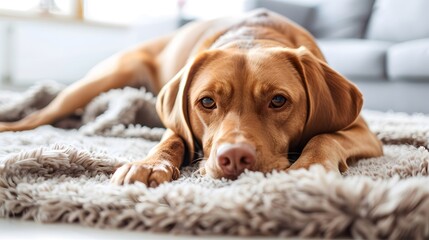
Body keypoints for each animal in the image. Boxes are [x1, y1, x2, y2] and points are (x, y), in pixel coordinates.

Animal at [0, 9, 382, 187]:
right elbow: (171, 140)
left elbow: (325, 136)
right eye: (207, 102)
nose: (234, 158)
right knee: (39, 113)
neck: (252, 36)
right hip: (102, 80)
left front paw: (307, 167)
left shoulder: (364, 131)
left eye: (278, 101)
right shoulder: (177, 124)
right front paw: (149, 165)